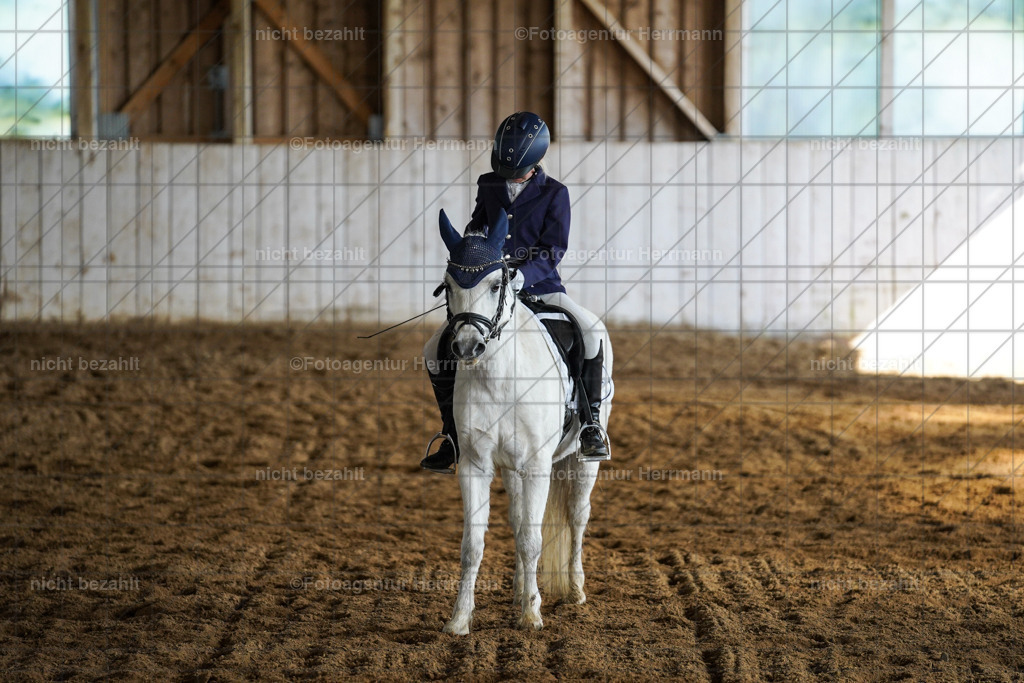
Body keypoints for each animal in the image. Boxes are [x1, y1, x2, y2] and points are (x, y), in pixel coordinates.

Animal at [431, 208, 614, 634]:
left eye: (497, 284)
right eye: (448, 285)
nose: (467, 347)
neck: (498, 376)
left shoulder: (536, 464)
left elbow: (533, 539)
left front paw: (531, 615)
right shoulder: (476, 464)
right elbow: (473, 545)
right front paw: (459, 620)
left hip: (581, 461)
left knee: (577, 517)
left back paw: (574, 590)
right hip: (512, 468)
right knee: (517, 521)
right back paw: (518, 591)